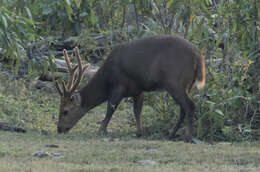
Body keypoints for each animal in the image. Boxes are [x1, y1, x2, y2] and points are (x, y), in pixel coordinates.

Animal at [54, 35, 205, 142]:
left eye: (65, 111)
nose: (59, 129)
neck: (107, 79)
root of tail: (199, 57)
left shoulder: (119, 85)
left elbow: (110, 108)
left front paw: (101, 130)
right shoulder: (138, 89)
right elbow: (137, 111)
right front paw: (139, 132)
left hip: (175, 82)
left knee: (190, 106)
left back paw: (187, 137)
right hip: (187, 84)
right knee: (183, 109)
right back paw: (171, 134)